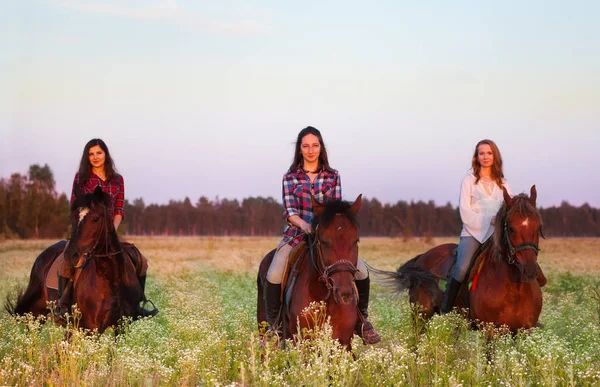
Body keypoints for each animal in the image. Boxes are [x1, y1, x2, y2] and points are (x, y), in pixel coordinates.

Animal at [5, 186, 145, 334]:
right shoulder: (91, 328)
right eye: (72, 218)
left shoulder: (122, 326)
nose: (71, 255)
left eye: (96, 218)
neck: (111, 279)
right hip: (36, 314)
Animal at [370, 186, 544, 332]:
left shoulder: (524, 332)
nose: (529, 270)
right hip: (421, 317)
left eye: (538, 226)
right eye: (511, 228)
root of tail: (422, 258)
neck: (515, 290)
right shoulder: (489, 332)